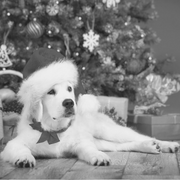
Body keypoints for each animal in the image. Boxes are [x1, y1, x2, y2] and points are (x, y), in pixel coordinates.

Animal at [0, 60, 179, 167]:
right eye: (50, 91)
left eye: (69, 89)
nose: (69, 102)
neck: (53, 131)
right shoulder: (13, 144)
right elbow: (20, 149)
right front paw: (24, 158)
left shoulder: (82, 143)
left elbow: (89, 150)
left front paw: (98, 156)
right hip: (102, 140)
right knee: (123, 145)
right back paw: (149, 146)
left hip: (109, 131)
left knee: (140, 136)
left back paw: (166, 145)